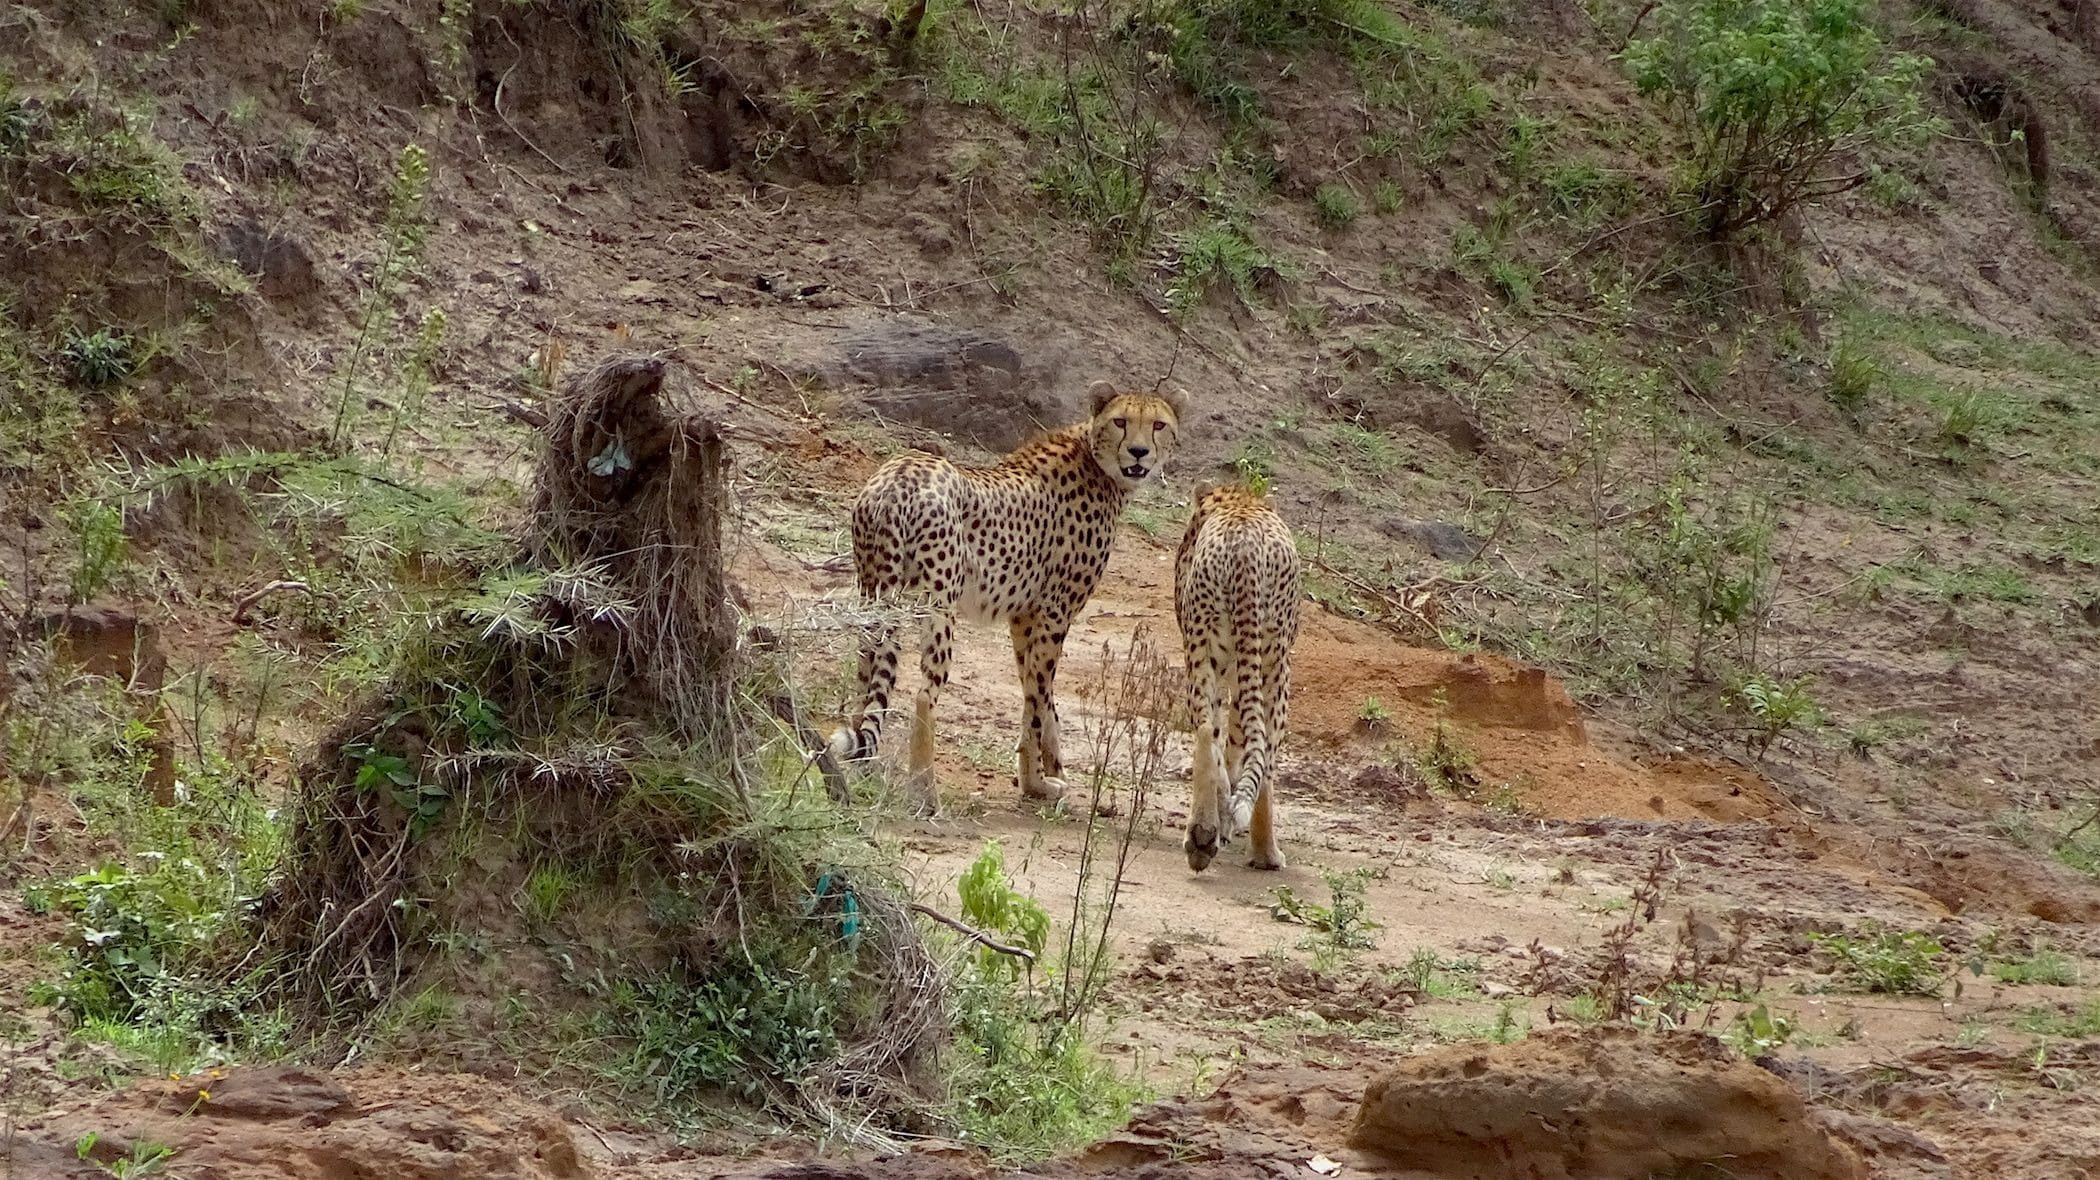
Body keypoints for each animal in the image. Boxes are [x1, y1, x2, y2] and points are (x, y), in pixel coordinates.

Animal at [823, 375, 1184, 806]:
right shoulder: (1054, 613)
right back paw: (924, 790)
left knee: (867, 681)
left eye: (1158, 424)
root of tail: (901, 474)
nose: (1139, 452)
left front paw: (1049, 774)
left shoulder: (1025, 618)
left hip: (873, 589)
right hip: (938, 602)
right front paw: (1037, 783)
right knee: (924, 694)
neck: (1097, 461)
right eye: (1121, 421)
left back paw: (865, 769)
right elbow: (1037, 702)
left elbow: (1041, 698)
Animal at [1176, 482, 1302, 869]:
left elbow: (1224, 740)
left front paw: (1222, 818)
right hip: (1274, 665)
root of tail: (1245, 544)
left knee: (1206, 732)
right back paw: (1265, 852)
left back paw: (1202, 834)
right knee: (1267, 753)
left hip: (1205, 653)